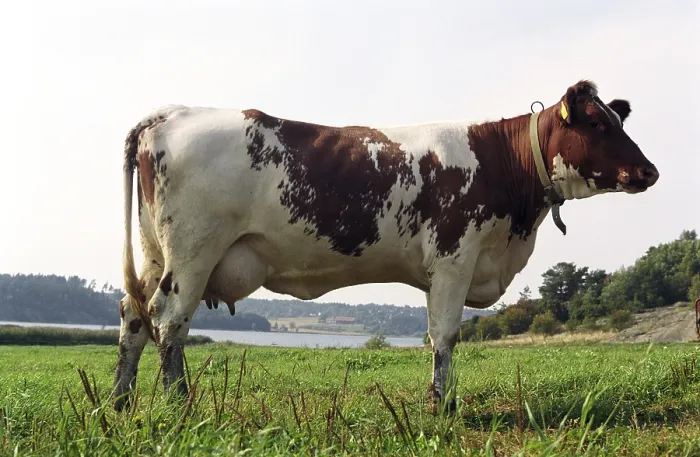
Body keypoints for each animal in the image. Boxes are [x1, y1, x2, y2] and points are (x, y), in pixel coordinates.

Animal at [113, 80, 659, 412]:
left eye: (619, 121)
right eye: (597, 124)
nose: (649, 171)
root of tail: (174, 113)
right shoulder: (455, 258)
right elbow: (445, 335)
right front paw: (442, 406)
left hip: (155, 250)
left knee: (133, 318)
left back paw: (120, 403)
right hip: (193, 251)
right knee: (170, 320)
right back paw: (178, 406)